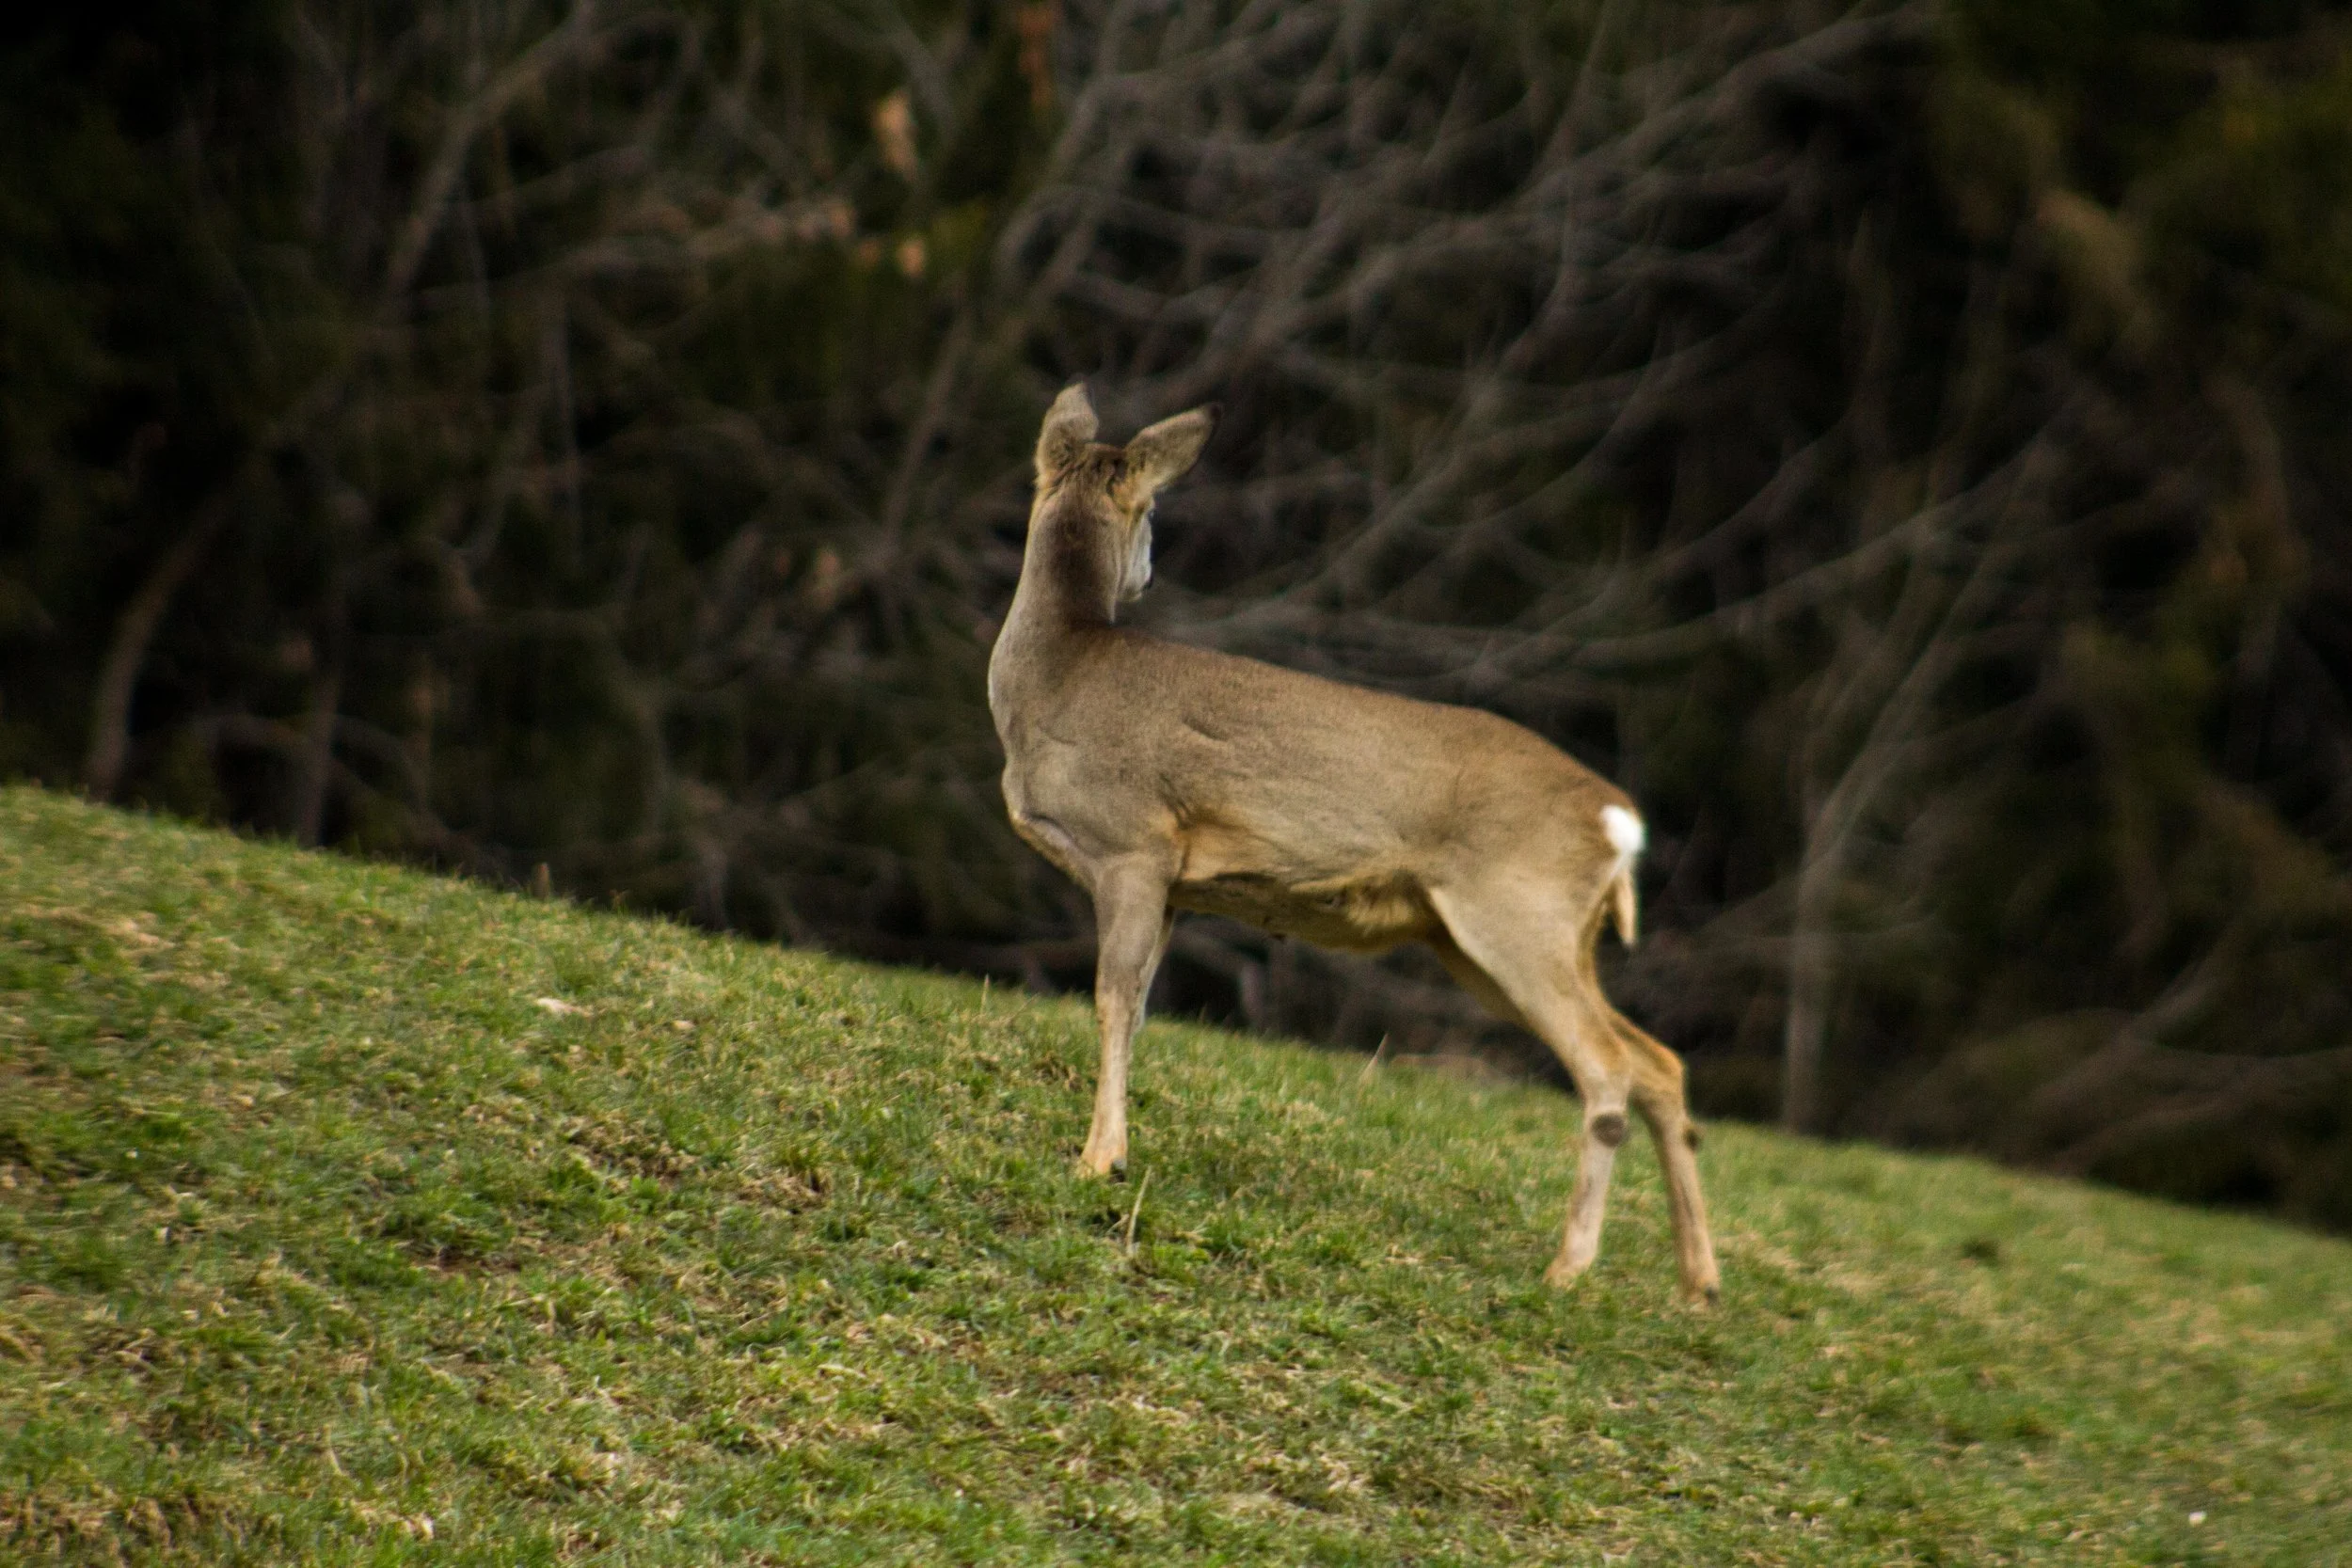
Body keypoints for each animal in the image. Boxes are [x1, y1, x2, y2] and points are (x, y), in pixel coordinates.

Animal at [986, 383, 1720, 1303]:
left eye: (1152, 512)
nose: (1148, 574)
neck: (1059, 679)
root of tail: (1617, 819)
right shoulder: (1178, 884)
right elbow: (1143, 1004)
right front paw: (1113, 1149)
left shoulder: (1135, 846)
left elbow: (1113, 997)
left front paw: (1099, 1161)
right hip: (1507, 938)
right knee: (1659, 1061)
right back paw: (1699, 1285)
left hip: (1517, 911)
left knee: (1608, 1066)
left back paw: (1570, 1266)